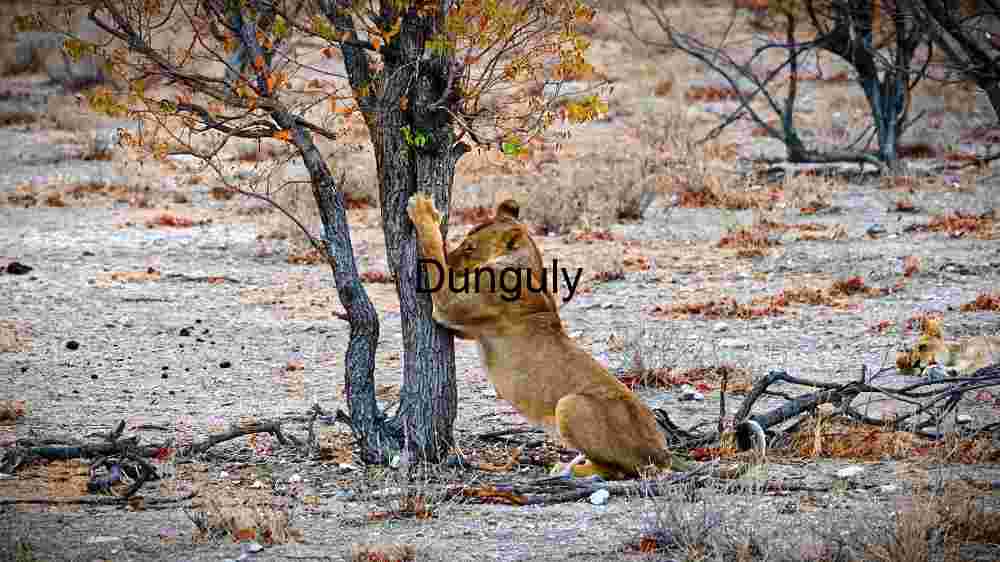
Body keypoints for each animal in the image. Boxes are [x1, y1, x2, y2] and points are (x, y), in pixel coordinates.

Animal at [408, 193, 694, 479]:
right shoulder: (464, 329)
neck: (528, 265)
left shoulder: (449, 306)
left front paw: (422, 210)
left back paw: (568, 469)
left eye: (469, 248)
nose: (453, 261)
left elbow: (433, 254)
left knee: (615, 470)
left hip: (570, 405)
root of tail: (663, 452)